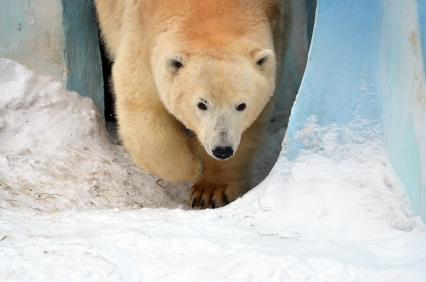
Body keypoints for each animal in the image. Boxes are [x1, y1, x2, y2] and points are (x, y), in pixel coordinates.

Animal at [96, 0, 282, 207]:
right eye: (202, 104)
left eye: (241, 105)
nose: (222, 150)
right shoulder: (139, 32)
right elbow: (141, 104)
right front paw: (194, 167)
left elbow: (253, 124)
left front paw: (211, 191)